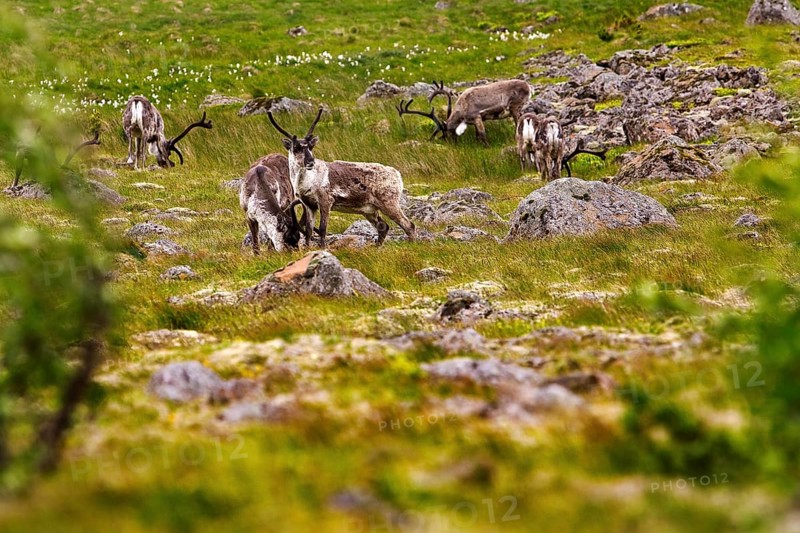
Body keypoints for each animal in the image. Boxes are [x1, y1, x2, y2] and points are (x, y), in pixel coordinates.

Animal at [267, 108, 416, 248]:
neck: (305, 183)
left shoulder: (326, 200)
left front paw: (323, 248)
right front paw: (309, 248)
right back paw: (376, 247)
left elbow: (322, 228)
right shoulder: (309, 205)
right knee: (384, 227)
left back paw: (412, 244)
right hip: (369, 209)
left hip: (389, 203)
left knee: (409, 225)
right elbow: (309, 230)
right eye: (296, 148)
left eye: (310, 147)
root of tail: (397, 174)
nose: (310, 161)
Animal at [397, 79, 531, 145]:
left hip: (515, 108)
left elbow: (482, 135)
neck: (461, 108)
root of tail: (528, 86)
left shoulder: (477, 116)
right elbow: (477, 136)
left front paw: (487, 147)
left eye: (447, 132)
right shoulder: (475, 121)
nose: (451, 143)